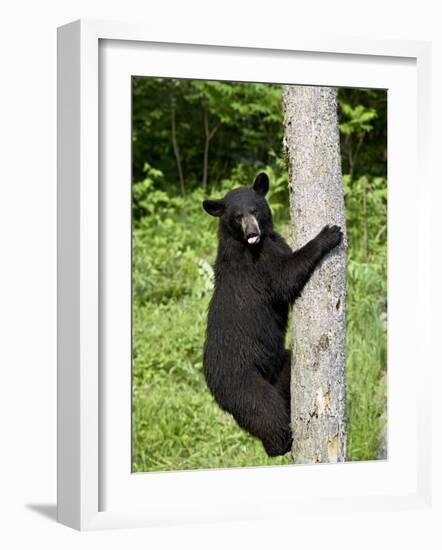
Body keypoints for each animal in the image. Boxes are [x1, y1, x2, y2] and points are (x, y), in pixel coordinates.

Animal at [202, 175, 344, 460]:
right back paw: (281, 443)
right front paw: (329, 234)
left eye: (255, 210)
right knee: (264, 410)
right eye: (237, 216)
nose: (252, 233)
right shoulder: (256, 265)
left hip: (278, 366)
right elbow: (284, 277)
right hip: (241, 381)